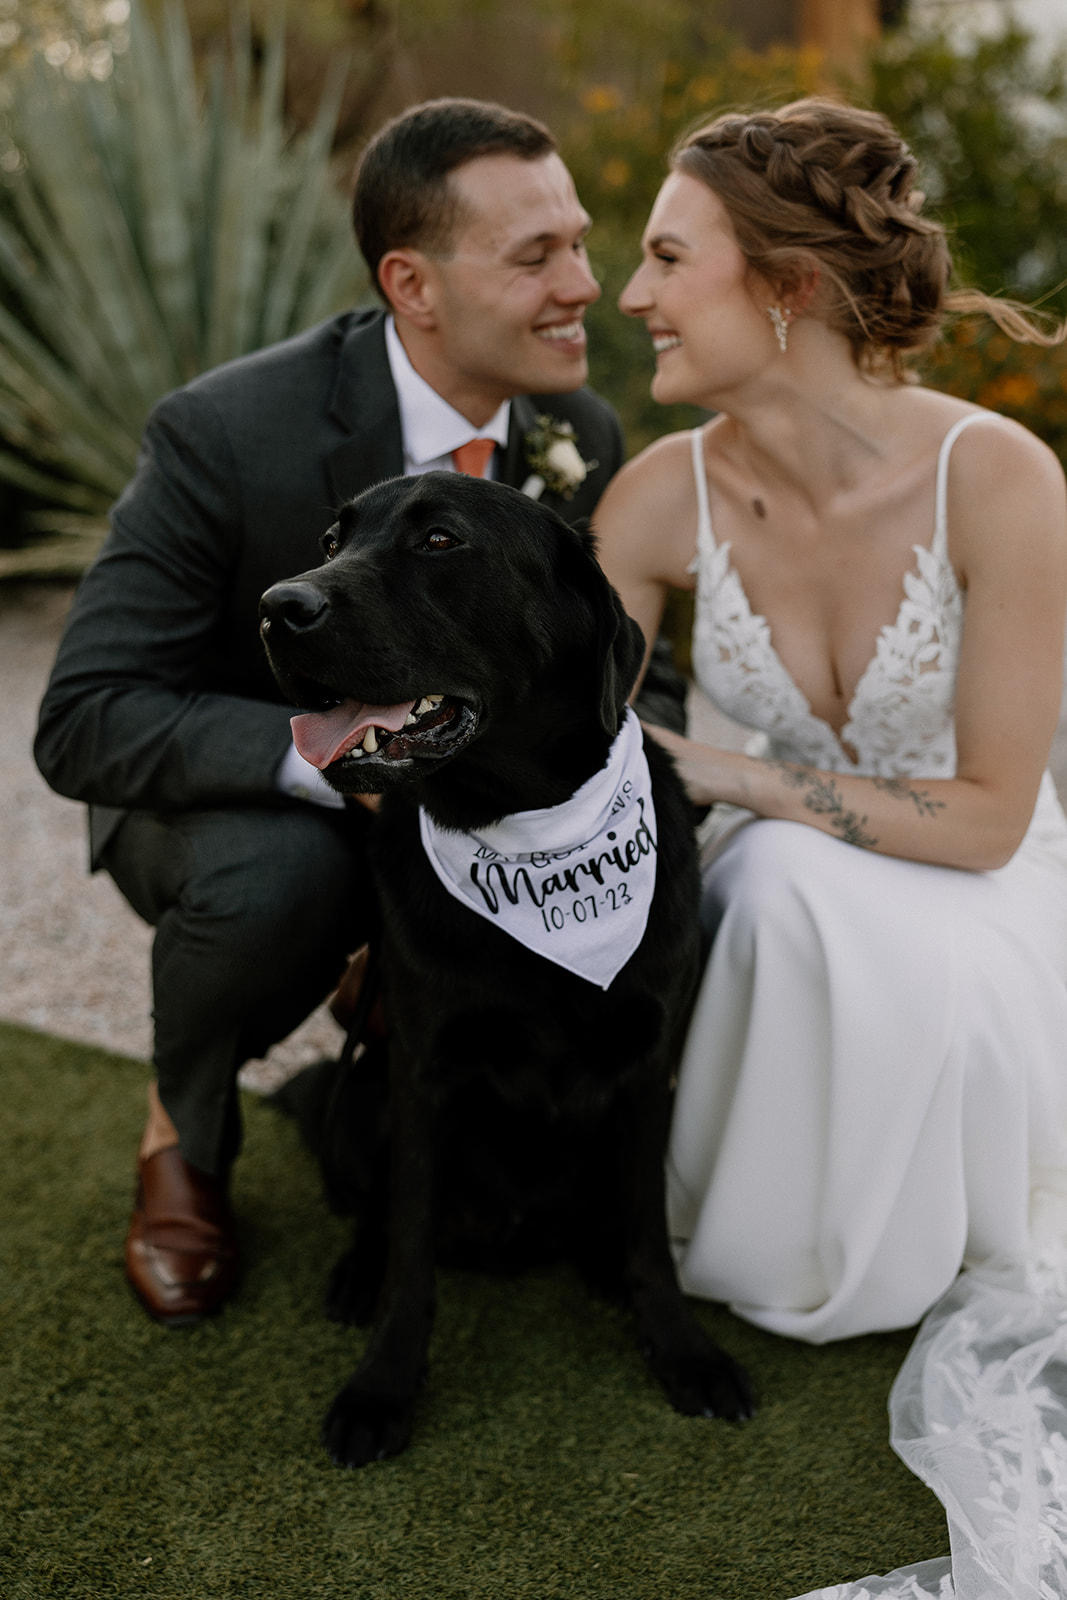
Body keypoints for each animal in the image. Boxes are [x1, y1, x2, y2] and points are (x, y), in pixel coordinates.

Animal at [260, 470, 751, 1465]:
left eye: (440, 541)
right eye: (332, 539)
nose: (276, 606)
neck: (524, 831)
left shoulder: (649, 1064)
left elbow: (650, 1231)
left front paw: (681, 1349)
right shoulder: (421, 1068)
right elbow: (411, 1248)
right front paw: (382, 1385)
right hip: (361, 1083)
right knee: (378, 1210)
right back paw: (356, 1275)